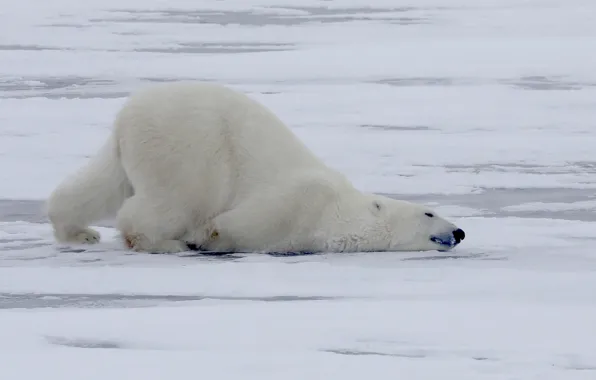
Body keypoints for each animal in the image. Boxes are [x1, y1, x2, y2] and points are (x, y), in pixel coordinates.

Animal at [46, 81, 466, 254]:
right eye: (430, 213)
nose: (460, 232)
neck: (335, 211)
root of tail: (125, 117)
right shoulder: (298, 198)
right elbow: (240, 221)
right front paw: (204, 236)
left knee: (101, 186)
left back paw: (79, 232)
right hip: (187, 147)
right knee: (170, 201)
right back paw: (165, 243)